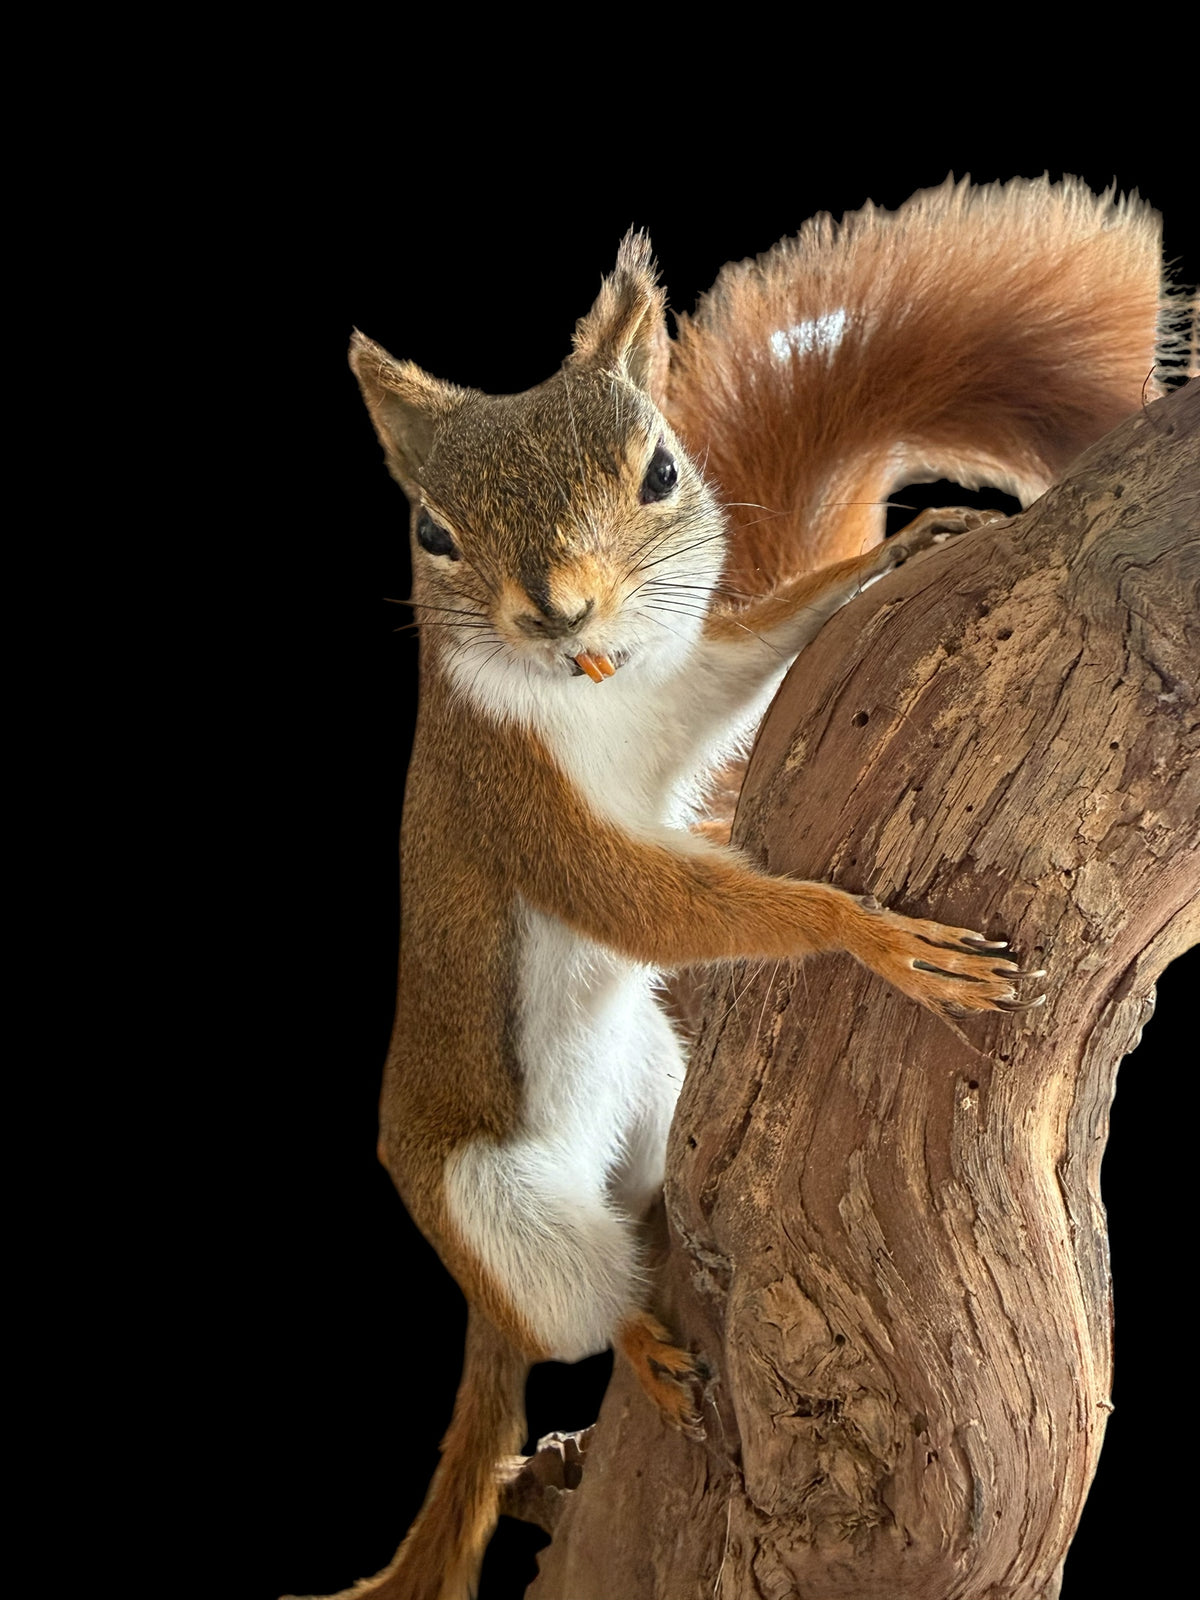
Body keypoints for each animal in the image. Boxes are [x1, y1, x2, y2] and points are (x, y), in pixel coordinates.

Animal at [300, 176, 1169, 1600]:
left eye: (660, 471)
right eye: (431, 530)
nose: (556, 607)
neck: (586, 681)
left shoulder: (675, 694)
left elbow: (741, 665)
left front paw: (894, 553)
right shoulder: (519, 806)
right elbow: (652, 904)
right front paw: (873, 940)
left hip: (653, 1090)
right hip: (504, 1214)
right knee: (584, 1308)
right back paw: (643, 1345)